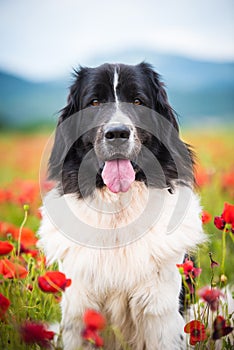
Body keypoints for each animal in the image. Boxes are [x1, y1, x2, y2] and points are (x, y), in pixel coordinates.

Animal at [37, 63, 206, 350]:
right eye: (94, 102)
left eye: (138, 101)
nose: (117, 133)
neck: (119, 210)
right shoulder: (79, 308)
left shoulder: (160, 312)